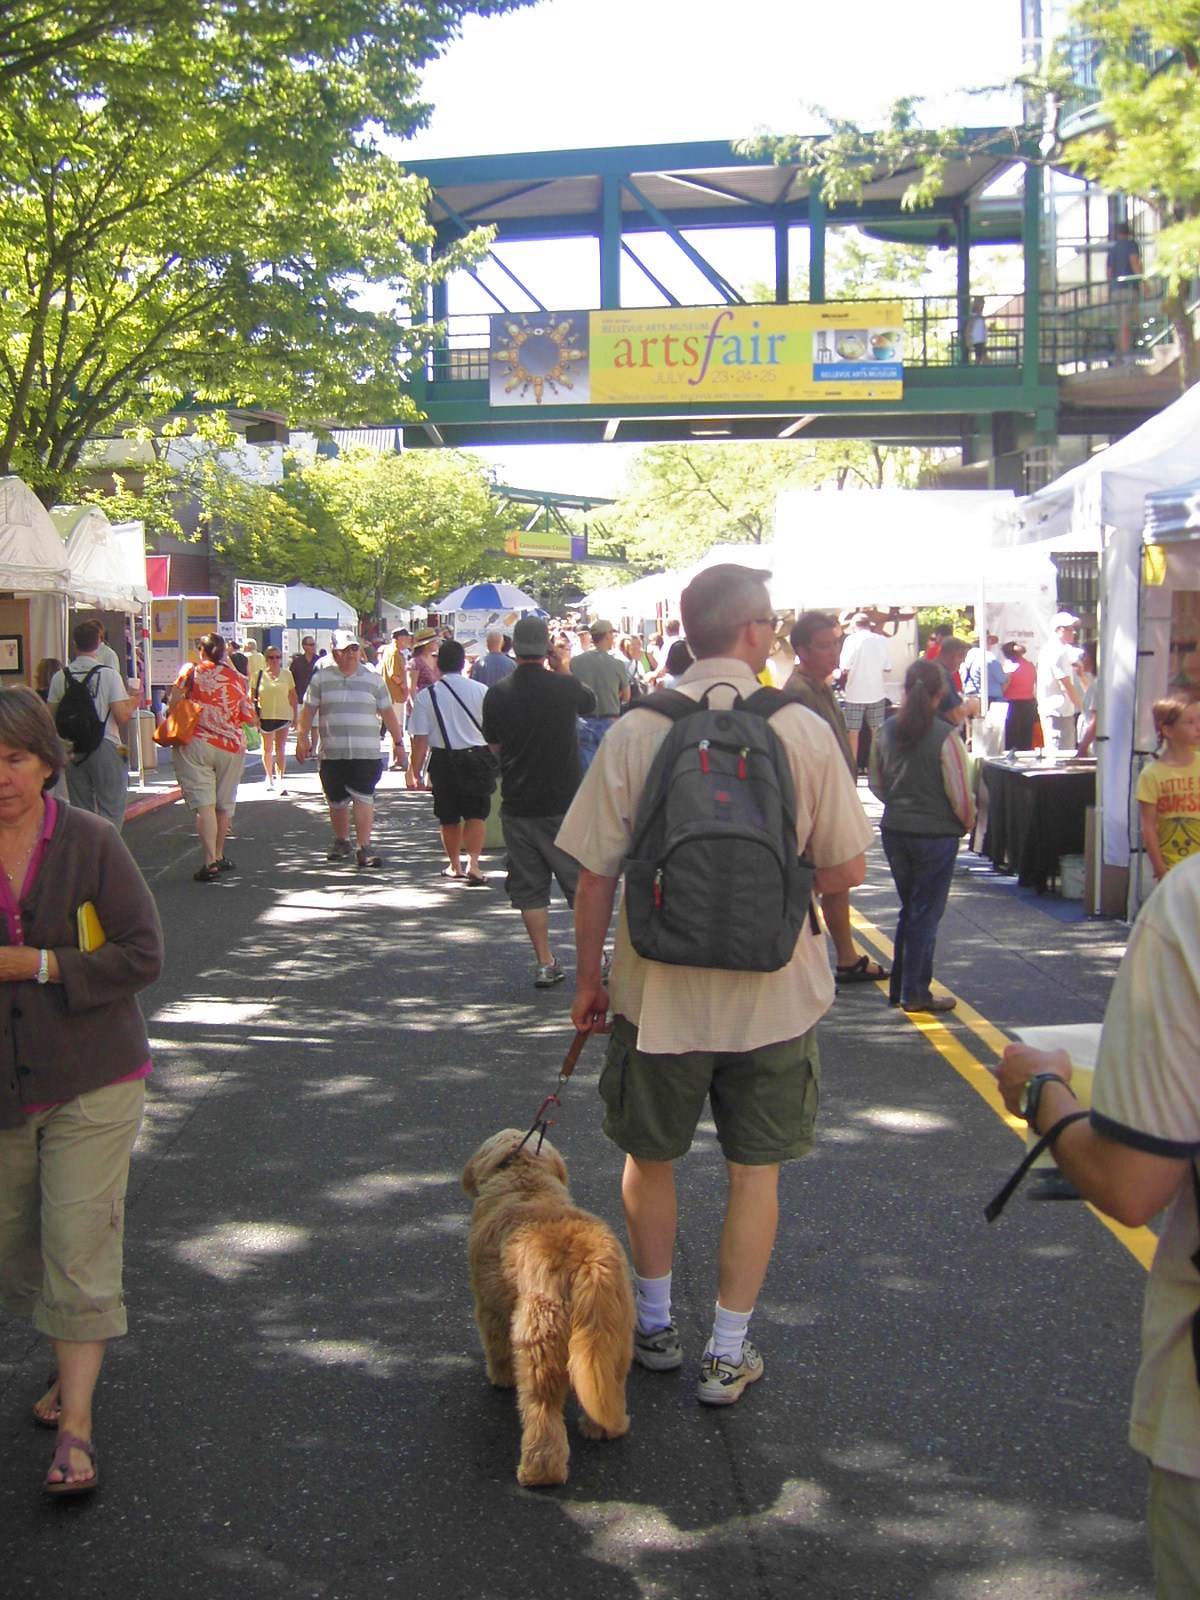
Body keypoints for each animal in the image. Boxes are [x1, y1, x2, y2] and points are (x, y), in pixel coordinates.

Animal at [460, 1126, 640, 1484]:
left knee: (542, 1411)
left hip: (539, 1345)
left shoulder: (489, 1306)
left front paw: (500, 1377)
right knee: (605, 1388)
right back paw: (605, 1427)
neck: (523, 1176)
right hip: (612, 1335)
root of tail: (586, 1263)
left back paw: (538, 1472)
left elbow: (496, 1346)